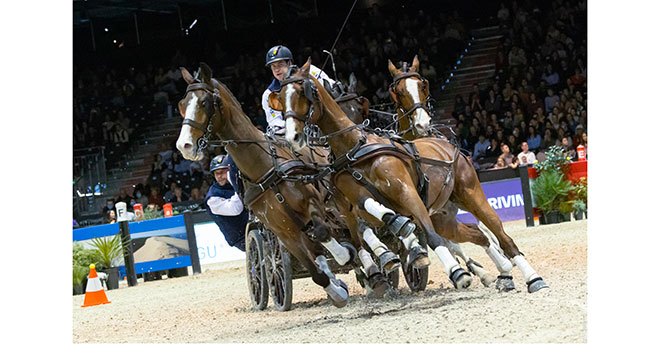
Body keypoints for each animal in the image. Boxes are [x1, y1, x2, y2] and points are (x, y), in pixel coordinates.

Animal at [173, 63, 356, 306]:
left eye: (204, 102)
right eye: (182, 105)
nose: (183, 145)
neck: (265, 168)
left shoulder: (313, 202)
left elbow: (322, 233)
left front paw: (345, 255)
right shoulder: (283, 231)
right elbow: (315, 269)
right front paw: (338, 291)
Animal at [384, 55, 548, 292]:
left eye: (423, 85)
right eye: (397, 90)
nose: (422, 123)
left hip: (469, 200)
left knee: (493, 233)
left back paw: (517, 271)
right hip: (447, 216)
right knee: (471, 235)